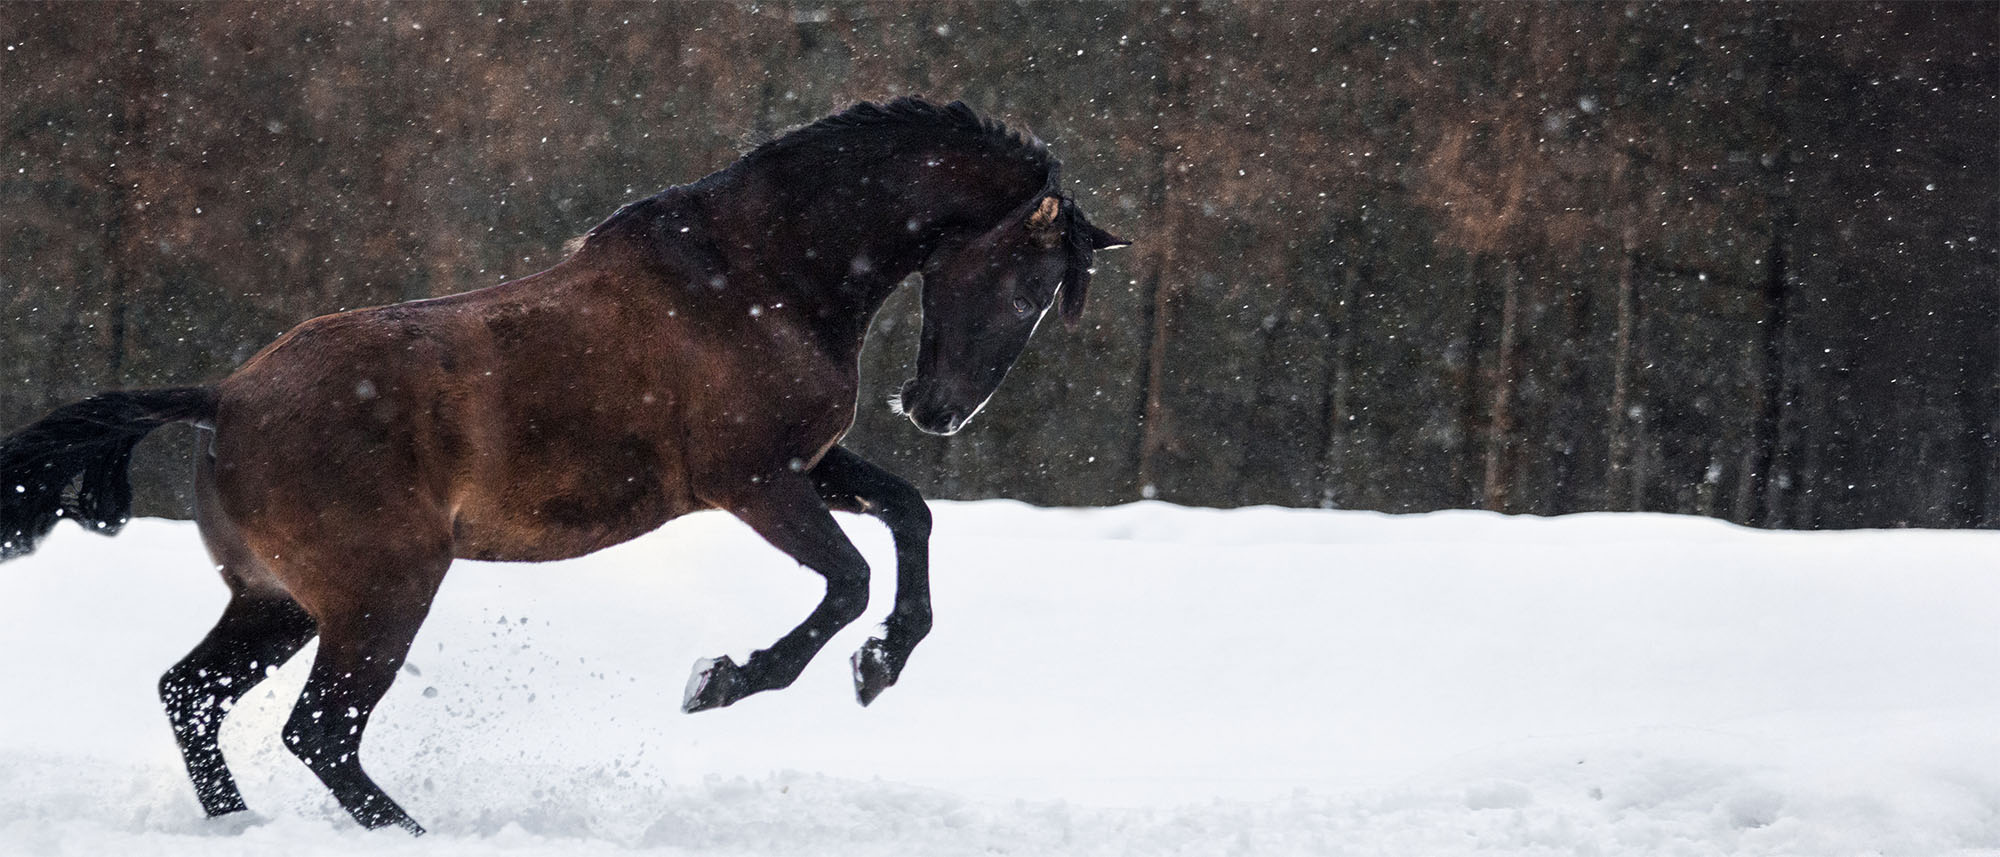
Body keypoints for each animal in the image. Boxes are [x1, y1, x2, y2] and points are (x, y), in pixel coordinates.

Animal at [0, 97, 1127, 835]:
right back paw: (410, 831)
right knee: (318, 731)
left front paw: (881, 666)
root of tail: (225, 398)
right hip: (380, 594)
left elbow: (910, 515)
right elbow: (847, 577)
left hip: (277, 599)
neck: (759, 272)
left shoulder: (807, 463)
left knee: (192, 693)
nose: (937, 411)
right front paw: (724, 679)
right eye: (1029, 280)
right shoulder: (751, 481)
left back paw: (242, 827)